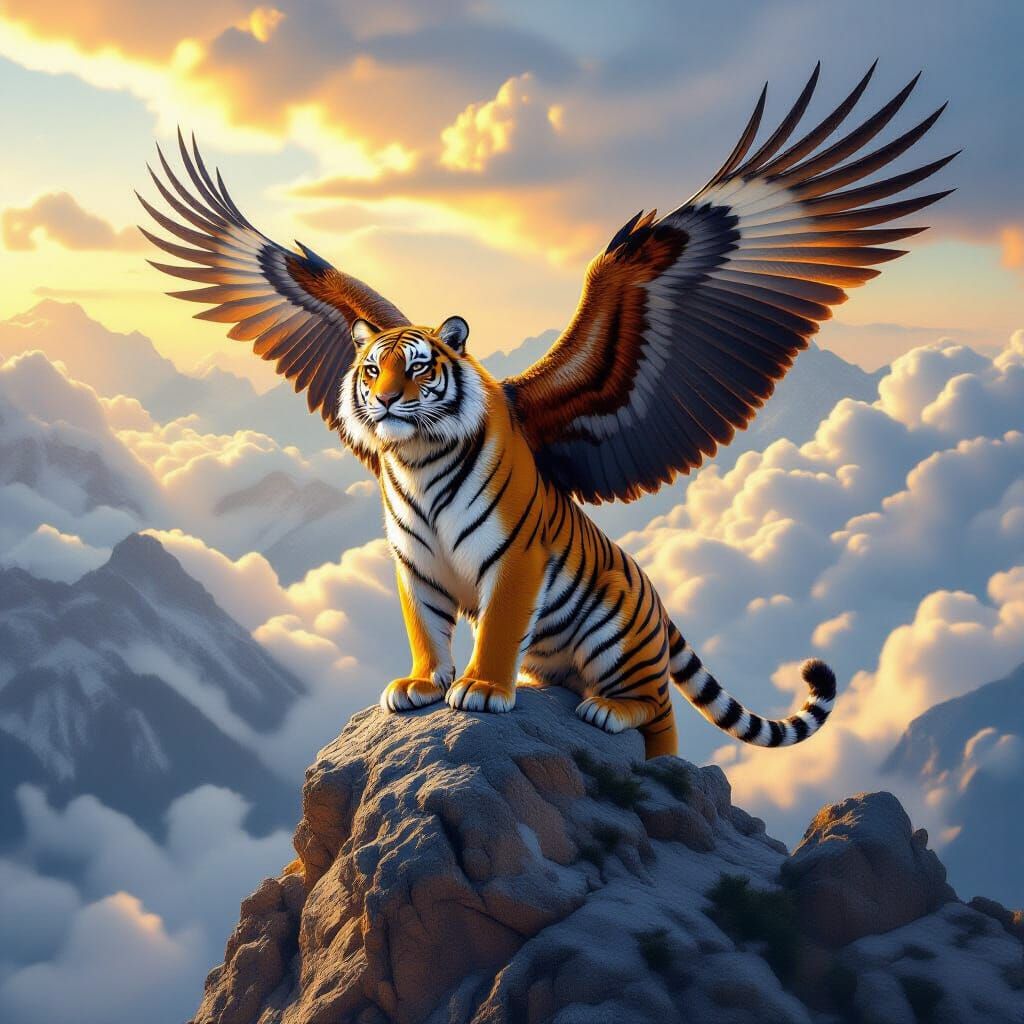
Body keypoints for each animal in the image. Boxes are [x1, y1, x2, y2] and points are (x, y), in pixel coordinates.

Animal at [141, 64, 954, 757]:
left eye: (417, 368)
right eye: (370, 368)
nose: (385, 399)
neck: (418, 461)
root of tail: (657, 602)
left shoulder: (518, 557)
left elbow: (497, 625)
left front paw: (480, 689)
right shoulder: (413, 560)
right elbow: (425, 625)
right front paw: (420, 685)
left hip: (621, 641)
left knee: (658, 711)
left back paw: (612, 716)